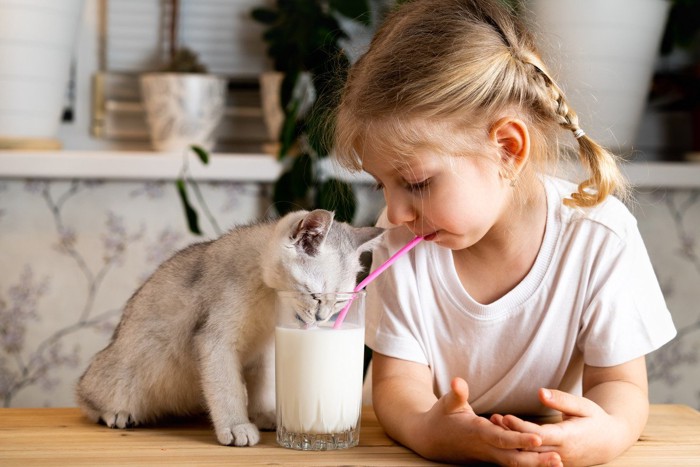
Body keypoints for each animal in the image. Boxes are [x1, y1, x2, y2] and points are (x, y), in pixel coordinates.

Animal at [75, 210, 382, 448]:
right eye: (315, 296)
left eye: (340, 302)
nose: (321, 318)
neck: (268, 297)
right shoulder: (215, 342)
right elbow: (227, 388)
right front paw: (236, 426)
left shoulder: (265, 351)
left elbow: (262, 387)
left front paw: (263, 414)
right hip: (121, 376)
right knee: (85, 396)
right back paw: (116, 414)